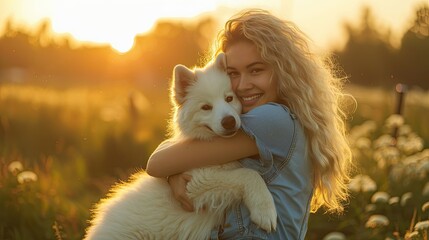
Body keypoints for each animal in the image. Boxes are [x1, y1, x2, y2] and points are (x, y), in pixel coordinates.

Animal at [84, 53, 278, 239]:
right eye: (206, 107)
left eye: (229, 98)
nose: (229, 121)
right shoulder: (195, 182)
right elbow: (248, 174)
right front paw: (265, 211)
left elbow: (246, 173)